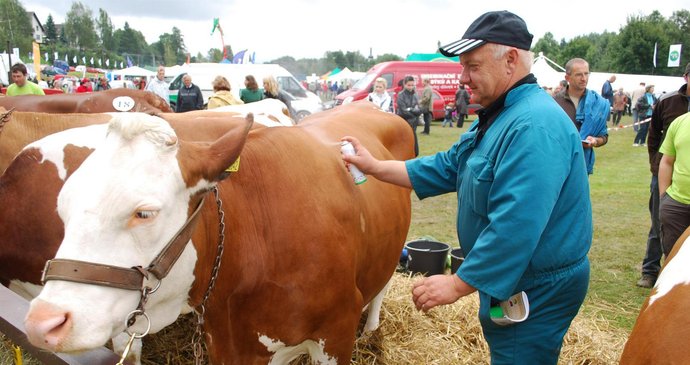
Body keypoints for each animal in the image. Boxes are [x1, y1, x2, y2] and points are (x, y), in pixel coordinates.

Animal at [20, 101, 408, 362]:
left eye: (144, 213)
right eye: (63, 206)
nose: (43, 322)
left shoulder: (336, 334)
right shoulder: (226, 342)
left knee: (382, 285)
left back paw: (372, 329)